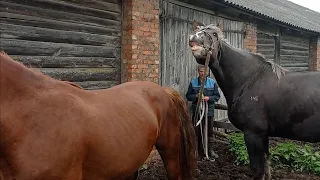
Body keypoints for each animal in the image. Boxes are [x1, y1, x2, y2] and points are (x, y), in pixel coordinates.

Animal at [189, 20, 320, 180]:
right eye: (199, 30)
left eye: (214, 34)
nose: (195, 38)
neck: (249, 79)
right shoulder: (263, 135)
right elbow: (267, 166)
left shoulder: (254, 133)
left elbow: (257, 170)